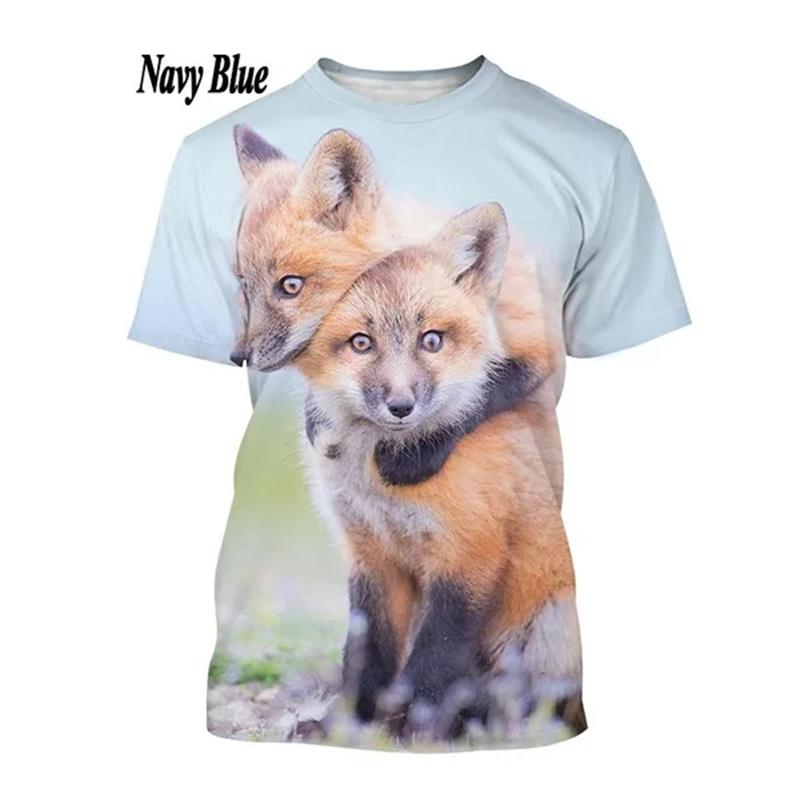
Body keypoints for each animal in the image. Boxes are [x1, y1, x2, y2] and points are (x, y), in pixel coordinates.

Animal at [231, 125, 565, 499]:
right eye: (243, 283)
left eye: (290, 285)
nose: (238, 356)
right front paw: (320, 418)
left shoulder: (536, 337)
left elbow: (481, 388)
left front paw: (415, 456)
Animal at [293, 203, 582, 737]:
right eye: (361, 343)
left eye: (431, 341)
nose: (400, 406)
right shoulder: (371, 557)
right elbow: (366, 654)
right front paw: (347, 724)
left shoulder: (469, 555)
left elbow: (435, 655)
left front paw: (413, 728)